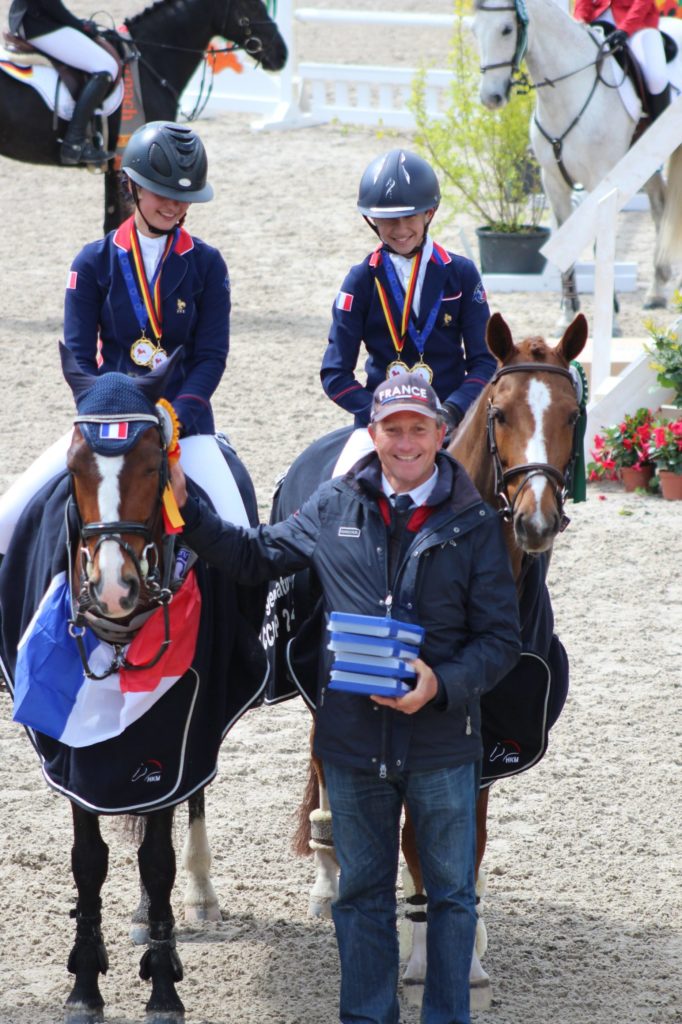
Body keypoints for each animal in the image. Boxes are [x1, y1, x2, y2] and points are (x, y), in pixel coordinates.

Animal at [0, 346, 266, 1024]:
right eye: (74, 467)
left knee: (189, 807)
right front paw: (84, 985)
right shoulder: (72, 755)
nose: (114, 585)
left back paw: (197, 898)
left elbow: (158, 856)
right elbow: (89, 862)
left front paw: (164, 987)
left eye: (152, 463)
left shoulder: (175, 735)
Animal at [471, 0, 679, 327]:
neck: (568, 93)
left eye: (506, 29)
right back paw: (656, 292)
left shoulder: (601, 183)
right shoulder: (553, 182)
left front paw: (612, 316)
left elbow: (598, 244)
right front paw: (567, 312)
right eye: (474, 30)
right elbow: (564, 243)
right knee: (659, 206)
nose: (490, 97)